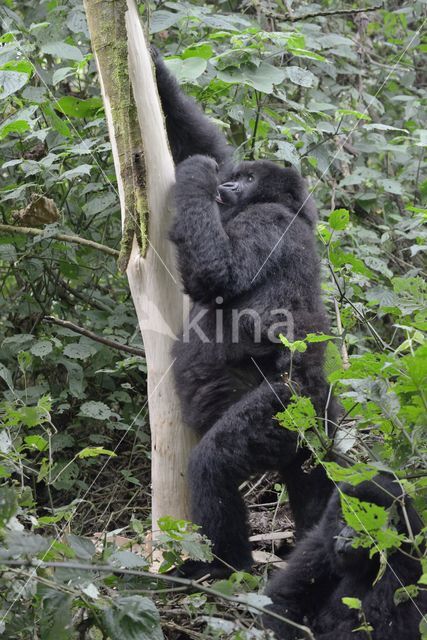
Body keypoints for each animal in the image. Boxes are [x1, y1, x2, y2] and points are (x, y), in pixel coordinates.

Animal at [153, 51, 342, 580]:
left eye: (253, 180)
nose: (231, 182)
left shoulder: (266, 224)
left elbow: (216, 273)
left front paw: (197, 174)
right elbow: (198, 138)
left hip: (289, 405)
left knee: (214, 464)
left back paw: (223, 568)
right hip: (314, 427)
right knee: (316, 481)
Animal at [262, 476, 426, 640]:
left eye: (364, 522)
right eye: (343, 518)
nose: (346, 537)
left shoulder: (406, 563)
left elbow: (378, 628)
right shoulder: (320, 543)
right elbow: (281, 600)